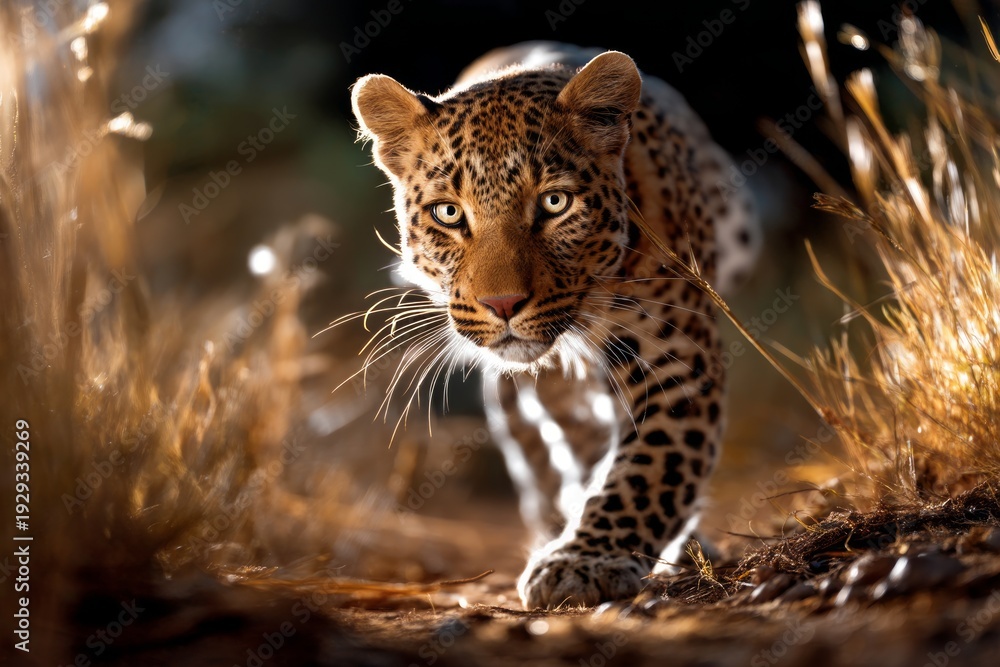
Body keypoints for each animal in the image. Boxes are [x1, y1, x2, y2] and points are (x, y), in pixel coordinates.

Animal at [350, 41, 760, 610]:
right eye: (448, 213)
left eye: (554, 202)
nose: (502, 303)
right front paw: (575, 550)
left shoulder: (678, 363)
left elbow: (650, 468)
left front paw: (585, 561)